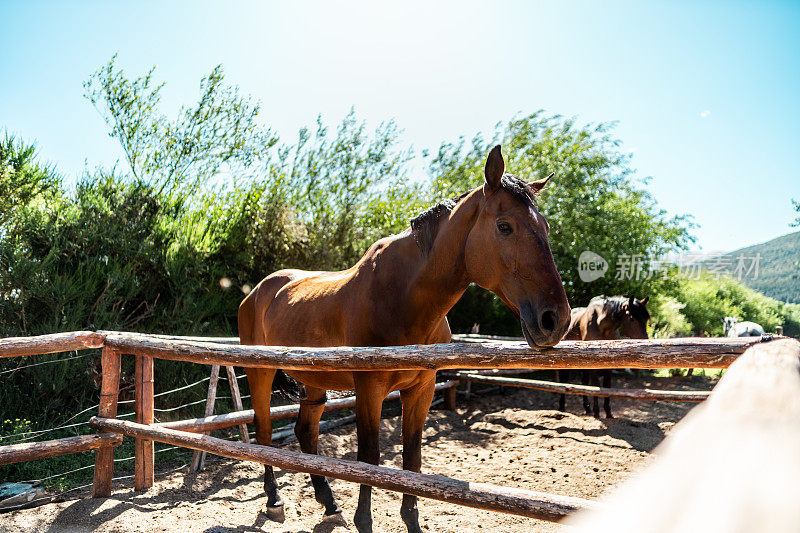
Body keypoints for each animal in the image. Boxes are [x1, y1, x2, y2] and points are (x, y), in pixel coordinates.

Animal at [241, 145, 572, 532]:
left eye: (546, 227)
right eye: (505, 226)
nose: (555, 320)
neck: (403, 297)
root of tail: (259, 292)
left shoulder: (420, 389)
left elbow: (412, 460)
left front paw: (410, 519)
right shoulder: (369, 390)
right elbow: (369, 459)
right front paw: (364, 520)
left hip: (314, 381)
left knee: (305, 432)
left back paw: (329, 504)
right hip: (260, 373)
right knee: (263, 432)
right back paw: (274, 500)